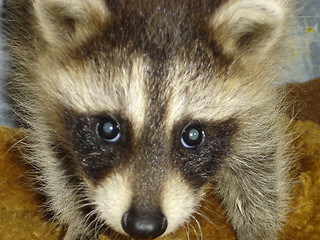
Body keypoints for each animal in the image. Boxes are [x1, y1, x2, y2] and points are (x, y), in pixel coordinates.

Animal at [2, 0, 294, 239]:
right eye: (108, 129)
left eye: (193, 135)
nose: (144, 226)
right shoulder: (34, 53)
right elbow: (50, 147)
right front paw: (81, 218)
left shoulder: (256, 73)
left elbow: (258, 150)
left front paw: (259, 228)